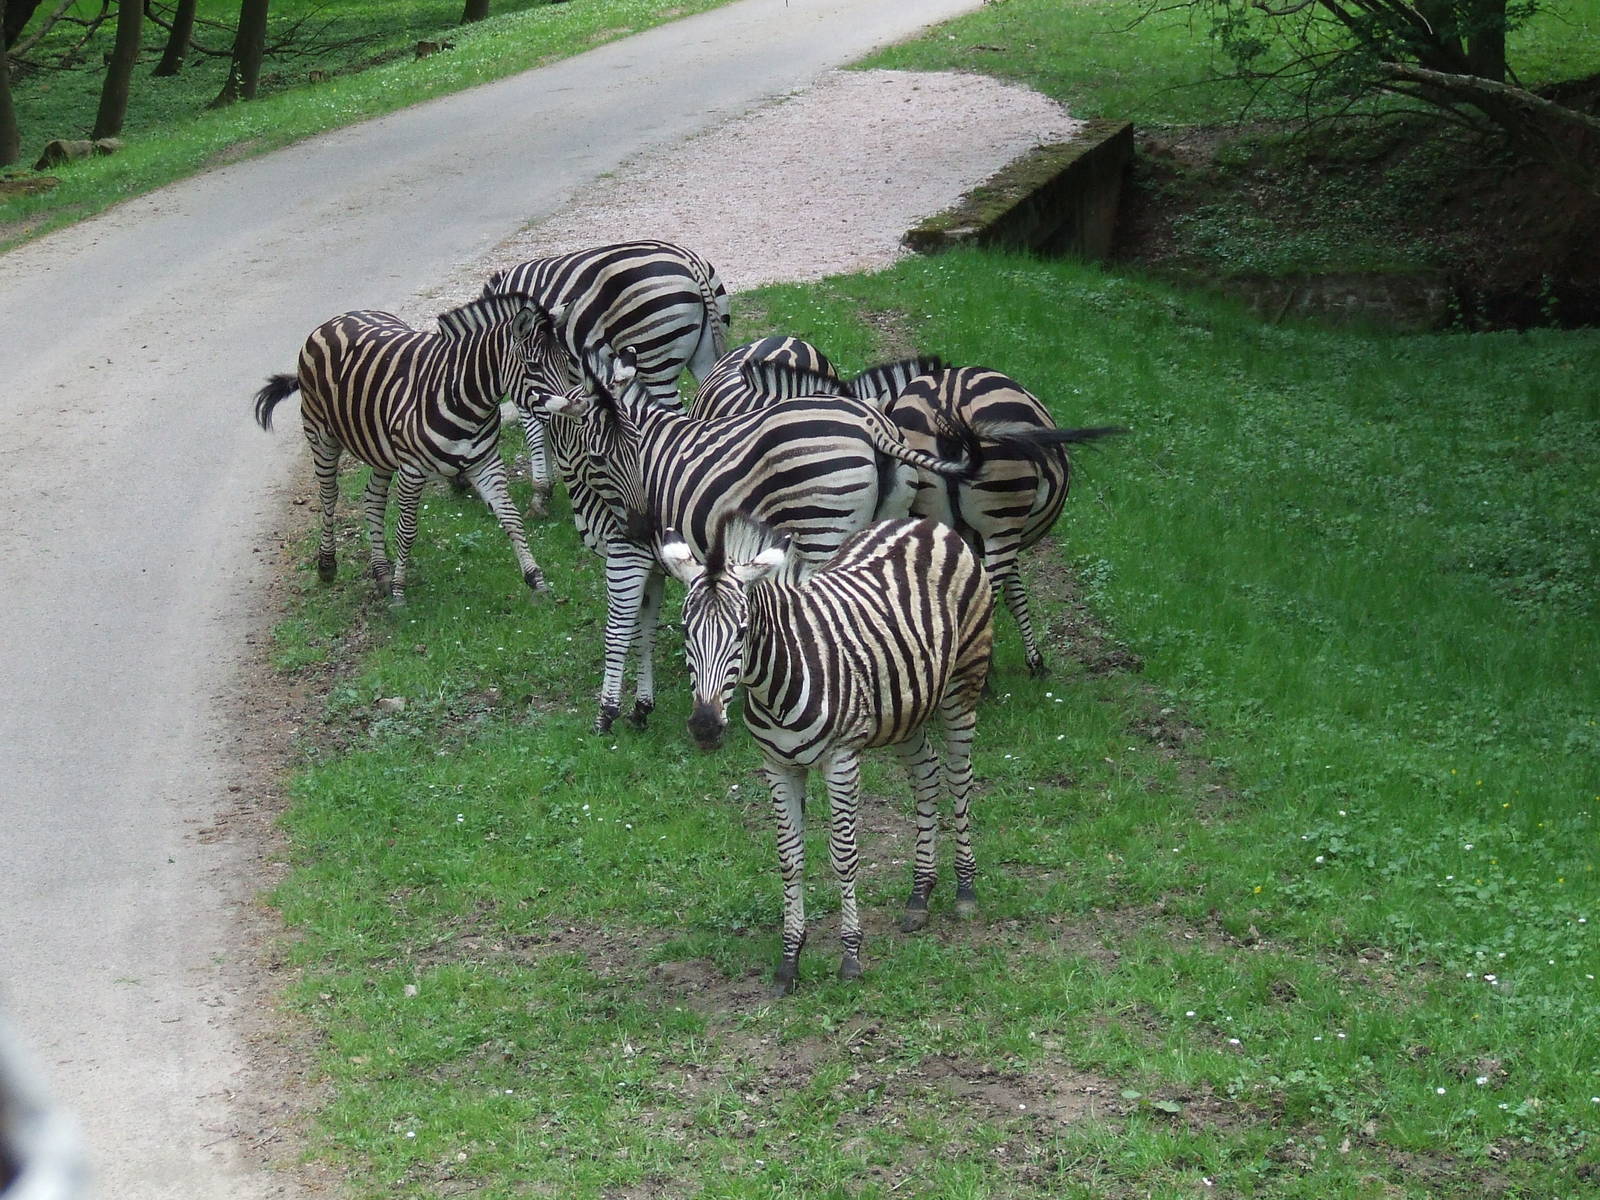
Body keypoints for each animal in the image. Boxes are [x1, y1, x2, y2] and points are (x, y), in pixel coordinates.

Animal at [252, 293, 563, 607]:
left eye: (564, 361)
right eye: (534, 366)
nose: (569, 410)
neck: (464, 398)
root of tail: (336, 319)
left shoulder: (486, 462)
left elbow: (511, 517)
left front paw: (536, 580)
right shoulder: (412, 470)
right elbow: (407, 530)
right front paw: (400, 594)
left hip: (378, 446)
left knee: (373, 498)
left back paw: (381, 573)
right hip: (321, 433)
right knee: (329, 494)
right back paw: (327, 565)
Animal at [483, 240, 731, 512]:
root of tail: (690, 261)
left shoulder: (525, 380)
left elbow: (536, 432)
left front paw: (540, 494)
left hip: (655, 361)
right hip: (704, 355)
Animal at [533, 345, 979, 734]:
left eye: (634, 449)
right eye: (601, 457)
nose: (645, 526)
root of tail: (873, 425)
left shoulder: (625, 554)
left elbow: (618, 633)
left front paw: (605, 716)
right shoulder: (653, 561)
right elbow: (645, 633)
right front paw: (642, 709)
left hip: (821, 531)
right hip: (884, 519)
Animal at [661, 516, 995, 994]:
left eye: (742, 631)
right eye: (687, 630)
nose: (705, 726)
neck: (776, 683)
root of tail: (924, 522)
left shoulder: (841, 760)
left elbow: (844, 855)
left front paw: (850, 956)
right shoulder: (779, 766)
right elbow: (790, 858)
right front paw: (790, 961)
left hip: (962, 682)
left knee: (958, 777)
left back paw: (965, 889)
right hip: (907, 705)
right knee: (927, 774)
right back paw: (919, 894)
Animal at [883, 367, 1126, 676]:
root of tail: (950, 397)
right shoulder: (1011, 535)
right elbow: (1016, 595)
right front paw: (1034, 661)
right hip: (1002, 524)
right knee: (988, 595)